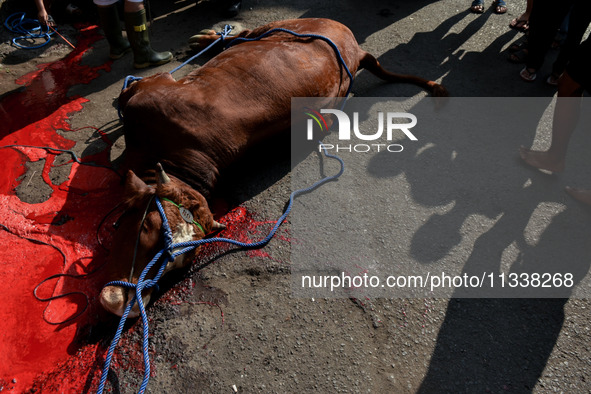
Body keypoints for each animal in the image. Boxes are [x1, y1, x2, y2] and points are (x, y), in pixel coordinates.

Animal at [102, 17, 446, 318]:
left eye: (180, 262)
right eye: (147, 227)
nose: (122, 304)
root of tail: (355, 48)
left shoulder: (152, 86)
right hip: (273, 29)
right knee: (242, 35)